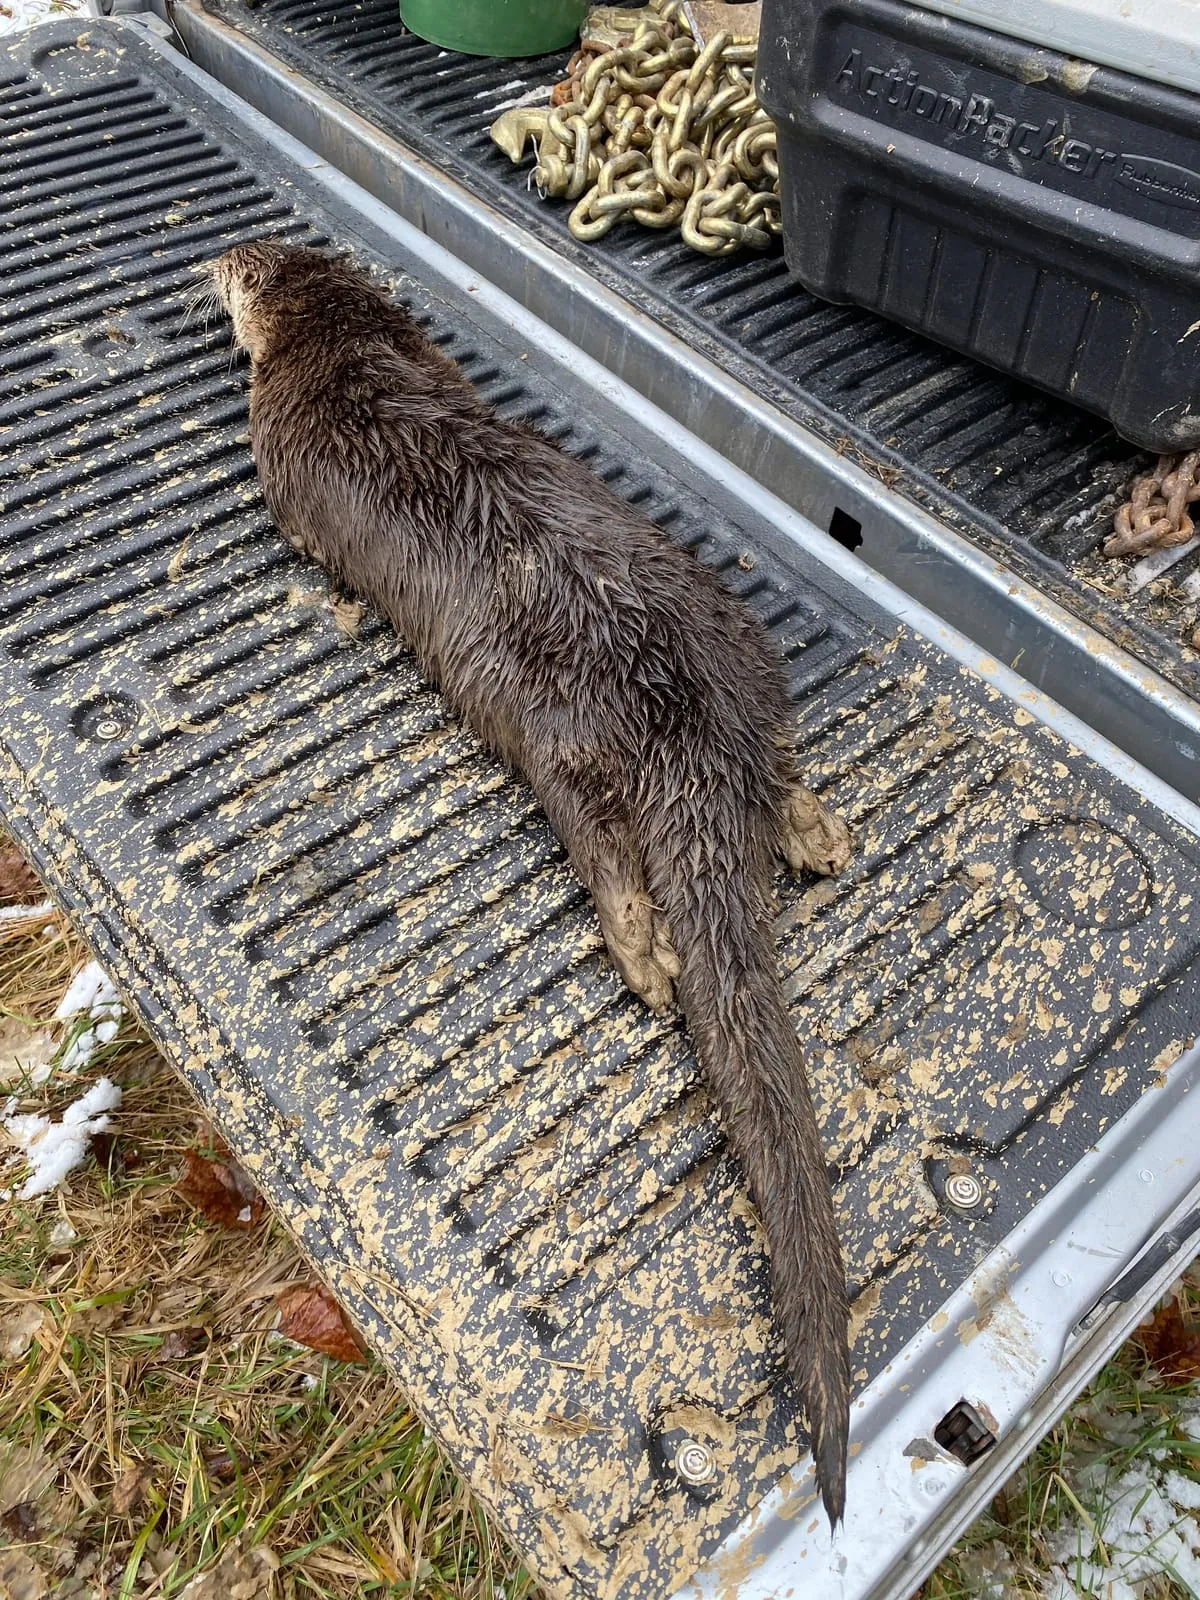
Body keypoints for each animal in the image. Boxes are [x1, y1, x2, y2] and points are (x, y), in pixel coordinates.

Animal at [207, 241, 854, 1524]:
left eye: (240, 272)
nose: (212, 259)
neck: (346, 354)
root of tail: (684, 717)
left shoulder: (282, 453)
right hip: (738, 646)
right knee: (779, 758)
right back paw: (814, 831)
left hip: (561, 741)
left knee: (605, 847)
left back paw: (646, 949)